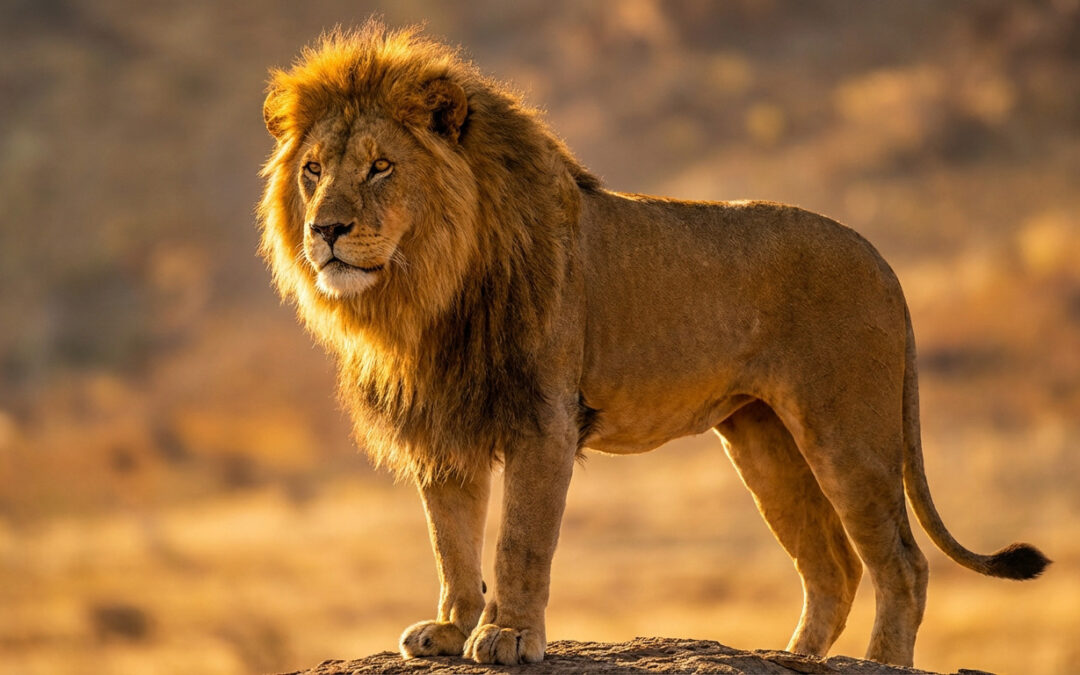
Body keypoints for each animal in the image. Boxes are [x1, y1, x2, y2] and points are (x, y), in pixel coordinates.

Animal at [257, 23, 1049, 668]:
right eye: (314, 170)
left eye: (380, 166)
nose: (325, 230)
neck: (423, 293)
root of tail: (880, 259)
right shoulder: (445, 420)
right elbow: (449, 538)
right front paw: (451, 630)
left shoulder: (543, 418)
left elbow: (519, 540)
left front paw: (508, 635)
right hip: (762, 440)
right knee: (833, 566)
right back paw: (792, 656)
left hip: (847, 431)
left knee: (902, 563)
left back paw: (878, 662)